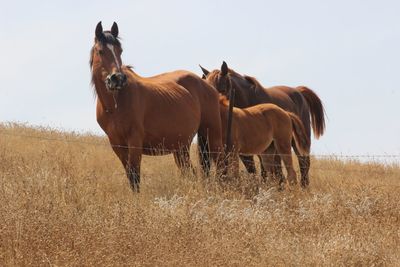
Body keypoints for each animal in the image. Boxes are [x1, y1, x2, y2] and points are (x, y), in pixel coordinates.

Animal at [89, 21, 225, 193]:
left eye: (120, 51)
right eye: (100, 51)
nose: (118, 79)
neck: (115, 104)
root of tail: (208, 85)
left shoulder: (135, 141)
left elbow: (135, 176)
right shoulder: (117, 144)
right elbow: (129, 175)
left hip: (212, 135)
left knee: (220, 163)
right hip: (181, 146)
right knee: (189, 171)